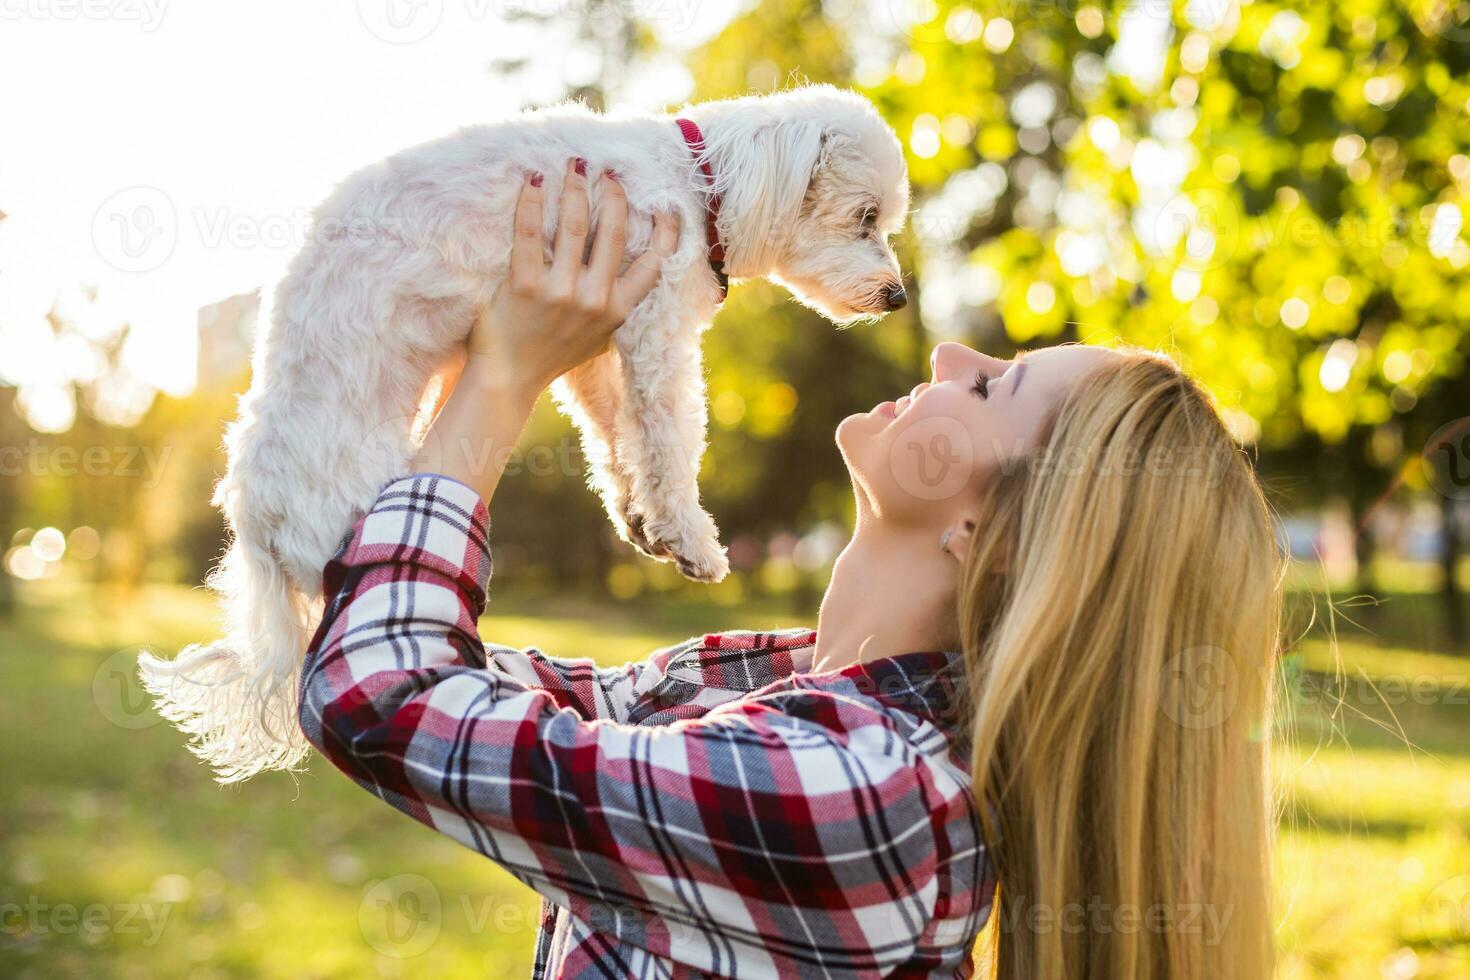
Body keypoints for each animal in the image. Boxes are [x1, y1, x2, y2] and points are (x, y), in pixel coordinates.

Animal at [143, 82, 911, 781]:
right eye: (865, 217)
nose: (900, 296)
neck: (699, 184)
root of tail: (258, 528)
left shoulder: (602, 347)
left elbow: (614, 435)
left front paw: (638, 519)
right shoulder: (654, 327)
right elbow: (667, 440)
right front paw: (690, 539)